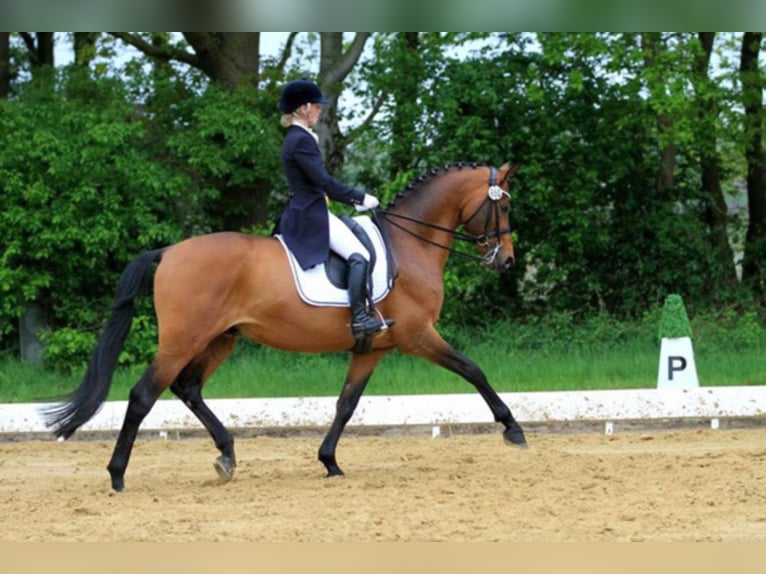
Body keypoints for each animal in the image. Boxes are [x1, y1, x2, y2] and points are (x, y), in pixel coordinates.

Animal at [45, 160, 532, 492]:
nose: (506, 261)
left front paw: (329, 461)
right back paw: (117, 475)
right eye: (505, 205)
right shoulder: (417, 336)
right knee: (144, 395)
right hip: (183, 340)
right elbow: (473, 370)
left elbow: (346, 403)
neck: (409, 245)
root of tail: (169, 252)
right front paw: (513, 430)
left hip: (219, 339)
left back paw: (226, 455)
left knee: (188, 388)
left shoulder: (373, 348)